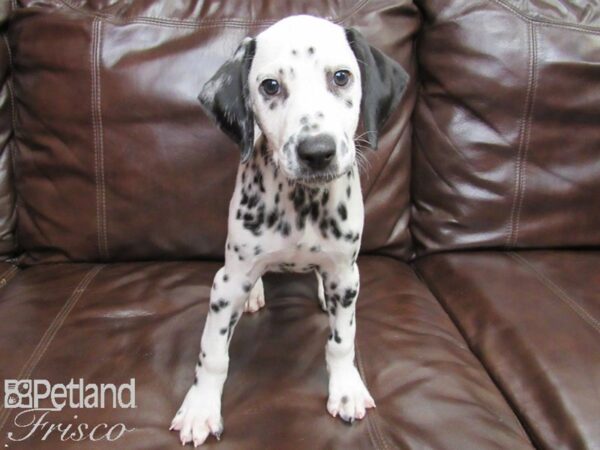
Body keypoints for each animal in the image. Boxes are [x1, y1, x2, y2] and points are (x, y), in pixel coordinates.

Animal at [171, 14, 410, 446]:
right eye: (270, 86)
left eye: (341, 77)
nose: (317, 152)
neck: (303, 203)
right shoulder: (227, 283)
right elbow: (213, 352)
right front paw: (200, 407)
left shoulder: (346, 274)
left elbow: (342, 341)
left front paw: (346, 389)